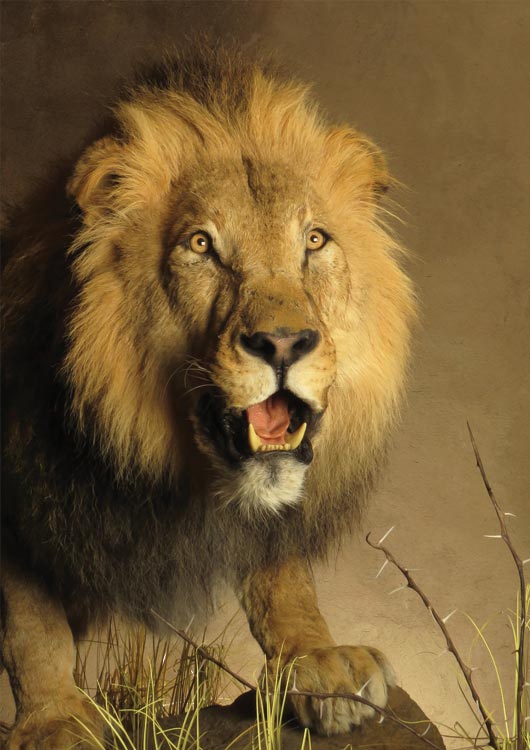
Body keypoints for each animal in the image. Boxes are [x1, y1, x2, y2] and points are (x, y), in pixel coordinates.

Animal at [1, 45, 415, 747]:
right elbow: (32, 622)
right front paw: (54, 717)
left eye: (314, 241)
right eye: (201, 245)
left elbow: (281, 576)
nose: (284, 344)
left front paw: (319, 662)